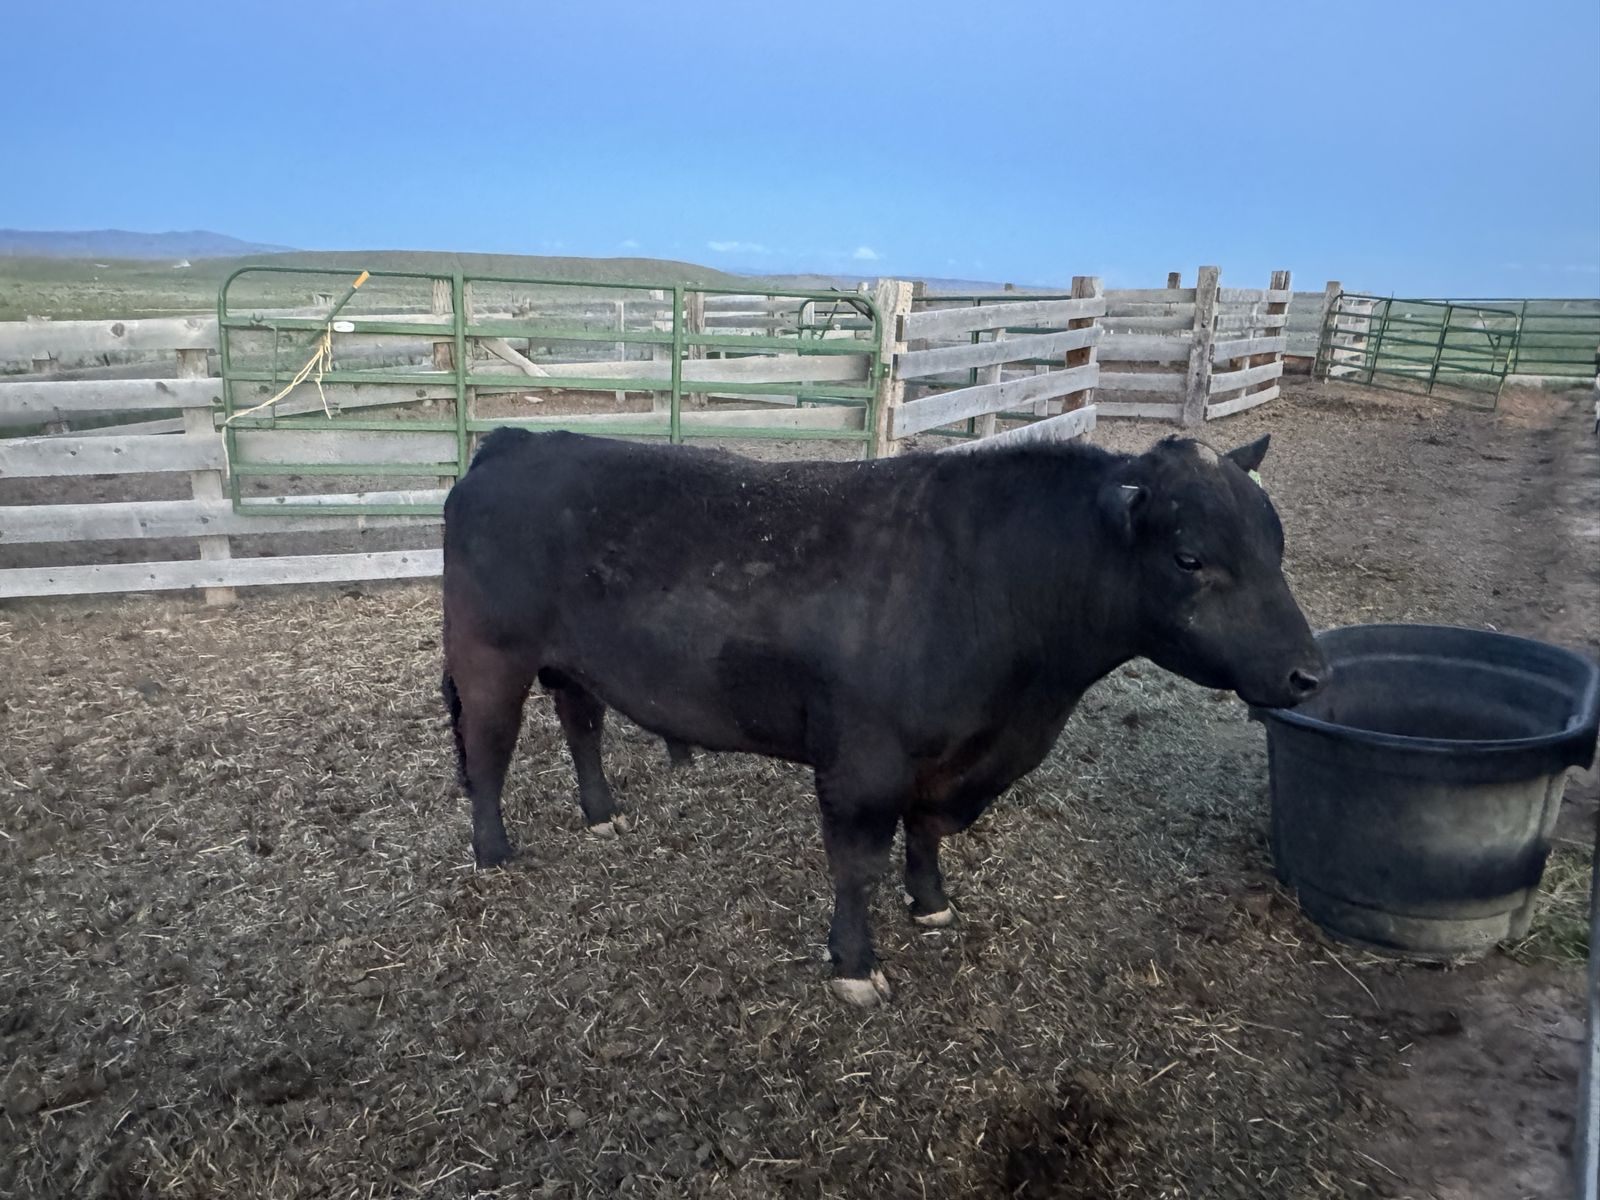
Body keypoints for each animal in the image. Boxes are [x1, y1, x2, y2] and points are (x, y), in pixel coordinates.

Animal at [440, 428, 1325, 1005]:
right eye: (1189, 557)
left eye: (1277, 545)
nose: (1307, 673)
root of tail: (517, 441)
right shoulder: (863, 765)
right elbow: (856, 864)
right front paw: (855, 967)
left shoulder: (958, 762)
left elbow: (929, 831)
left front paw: (931, 903)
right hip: (489, 653)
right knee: (488, 745)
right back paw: (493, 849)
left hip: (573, 660)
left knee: (580, 718)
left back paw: (601, 814)